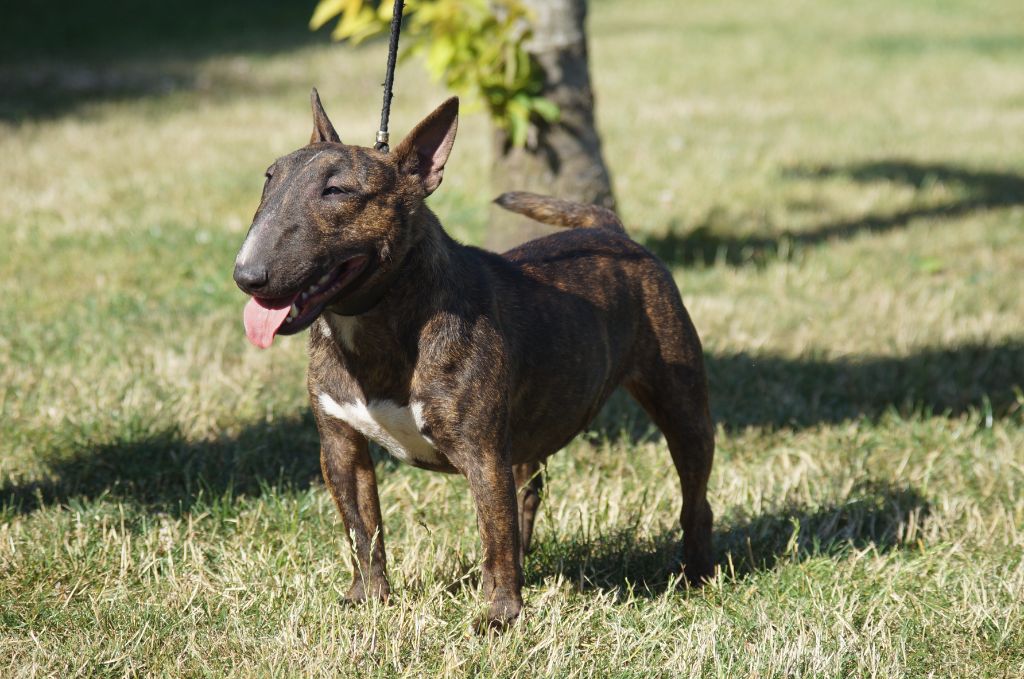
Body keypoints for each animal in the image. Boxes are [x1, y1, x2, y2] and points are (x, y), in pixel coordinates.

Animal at [231, 90, 712, 630]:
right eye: (268, 178)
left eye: (336, 191)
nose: (247, 275)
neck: (380, 322)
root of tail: (613, 231)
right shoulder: (339, 446)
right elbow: (362, 529)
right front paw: (367, 599)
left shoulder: (481, 452)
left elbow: (493, 536)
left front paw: (499, 616)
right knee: (526, 495)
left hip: (681, 404)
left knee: (694, 495)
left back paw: (696, 574)